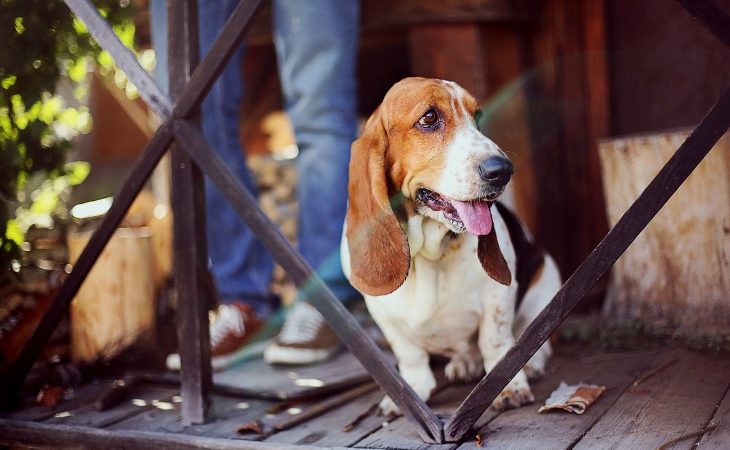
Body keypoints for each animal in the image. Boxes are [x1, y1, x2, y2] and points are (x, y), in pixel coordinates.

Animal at [338, 76, 560, 414]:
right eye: (429, 118)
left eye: (477, 116)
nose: (502, 171)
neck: (428, 256)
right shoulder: (384, 317)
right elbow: (409, 356)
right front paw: (411, 391)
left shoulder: (497, 298)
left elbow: (496, 343)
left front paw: (508, 386)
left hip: (546, 280)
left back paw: (531, 364)